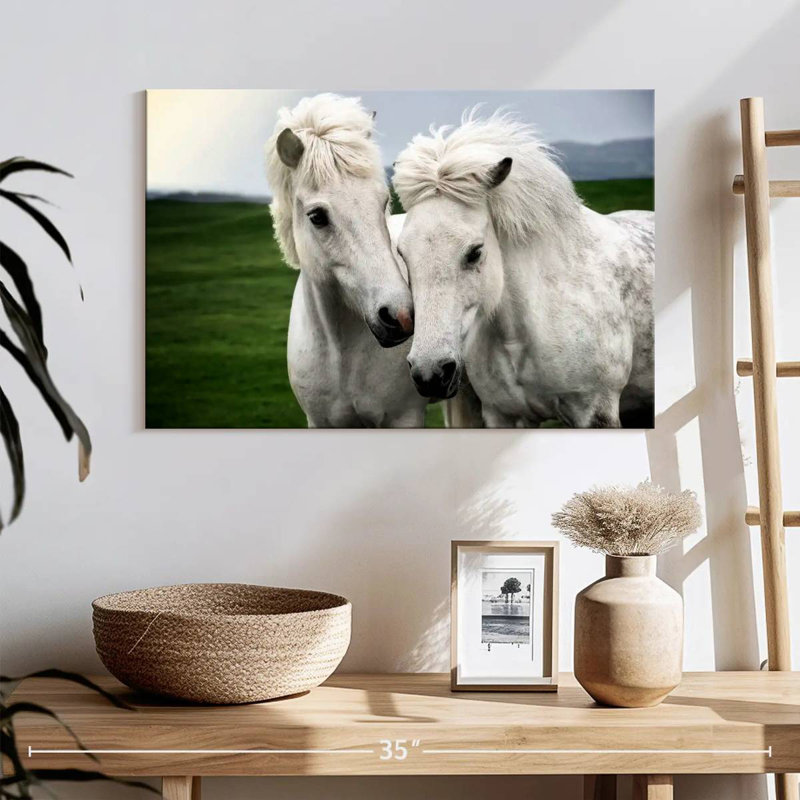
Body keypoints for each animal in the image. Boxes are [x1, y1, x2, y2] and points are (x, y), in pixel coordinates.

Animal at [265, 94, 428, 427]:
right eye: (317, 216)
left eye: (383, 201)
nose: (401, 316)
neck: (340, 352)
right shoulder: (320, 421)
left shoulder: (405, 418)